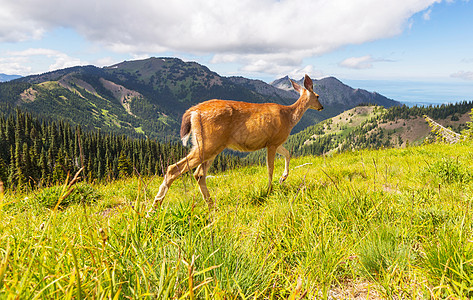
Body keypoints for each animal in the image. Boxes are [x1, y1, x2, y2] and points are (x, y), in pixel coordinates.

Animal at [149, 74, 322, 212]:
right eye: (318, 96)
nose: (322, 107)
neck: (289, 117)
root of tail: (193, 111)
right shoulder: (272, 142)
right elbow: (270, 168)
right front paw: (269, 189)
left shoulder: (275, 142)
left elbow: (287, 154)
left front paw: (283, 178)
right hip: (209, 143)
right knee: (173, 169)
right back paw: (154, 208)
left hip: (209, 145)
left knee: (198, 174)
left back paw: (211, 205)